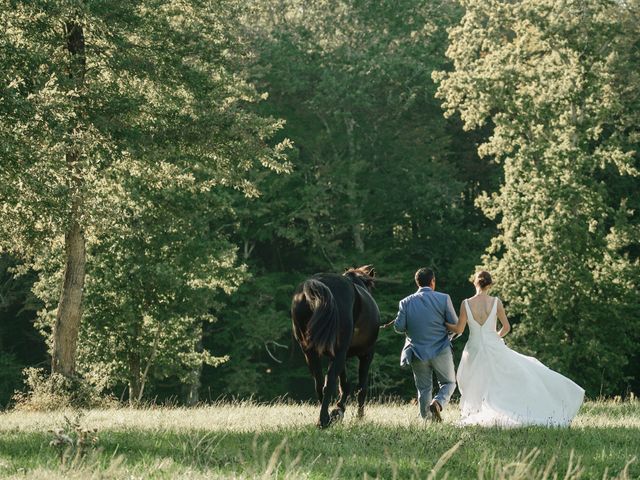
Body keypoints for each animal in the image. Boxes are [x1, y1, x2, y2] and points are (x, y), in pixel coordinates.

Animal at [292, 266, 378, 428]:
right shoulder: (366, 354)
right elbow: (361, 387)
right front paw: (357, 416)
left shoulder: (338, 355)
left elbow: (344, 384)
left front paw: (338, 409)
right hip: (340, 352)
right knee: (330, 381)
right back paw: (324, 419)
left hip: (310, 353)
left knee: (320, 383)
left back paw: (325, 416)